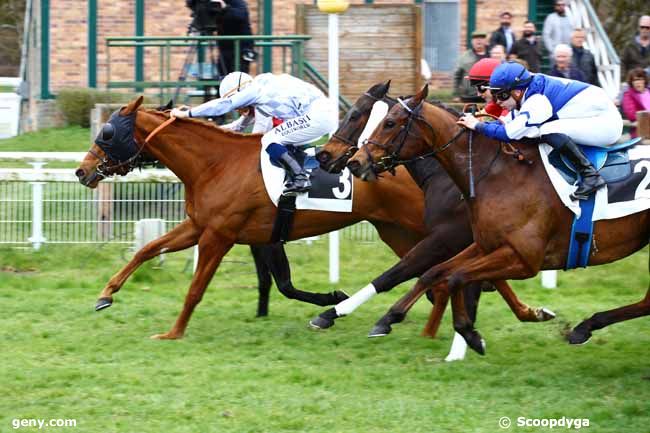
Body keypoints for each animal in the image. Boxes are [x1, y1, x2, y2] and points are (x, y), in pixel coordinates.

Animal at [76, 96, 430, 340]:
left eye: (107, 133)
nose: (82, 170)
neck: (216, 164)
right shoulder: (200, 227)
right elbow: (147, 250)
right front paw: (105, 294)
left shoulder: (218, 236)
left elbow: (196, 288)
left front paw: (173, 332)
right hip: (393, 229)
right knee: (420, 267)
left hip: (416, 223)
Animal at [312, 80, 548, 344]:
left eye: (354, 115)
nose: (324, 155)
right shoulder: (481, 242)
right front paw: (529, 312)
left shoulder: (445, 237)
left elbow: (396, 274)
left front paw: (336, 313)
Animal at [350, 84, 648, 352]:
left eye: (389, 122)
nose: (355, 162)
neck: (497, 174)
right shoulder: (485, 244)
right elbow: (436, 273)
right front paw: (390, 318)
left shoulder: (523, 259)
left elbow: (455, 277)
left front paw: (469, 333)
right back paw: (584, 327)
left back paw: (584, 327)